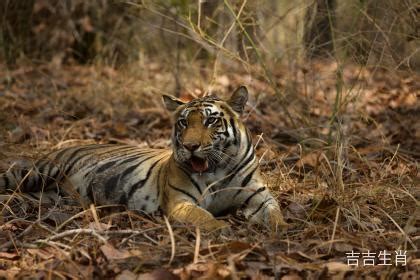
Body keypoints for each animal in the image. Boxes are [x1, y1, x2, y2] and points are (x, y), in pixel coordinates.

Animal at [0, 86, 288, 233]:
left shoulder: (260, 196)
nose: (190, 146)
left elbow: (275, 213)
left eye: (210, 121)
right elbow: (205, 217)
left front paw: (281, 228)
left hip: (47, 195)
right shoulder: (181, 203)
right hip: (37, 172)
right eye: (183, 123)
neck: (218, 169)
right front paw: (222, 228)